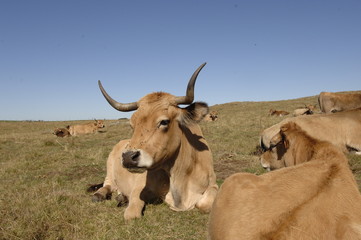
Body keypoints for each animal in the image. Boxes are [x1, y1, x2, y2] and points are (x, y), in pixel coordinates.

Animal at [91, 63, 218, 219]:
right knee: (107, 185)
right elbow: (132, 214)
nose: (128, 157)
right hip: (109, 170)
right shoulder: (139, 186)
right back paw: (99, 195)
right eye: (132, 124)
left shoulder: (213, 184)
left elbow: (205, 204)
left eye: (164, 121)